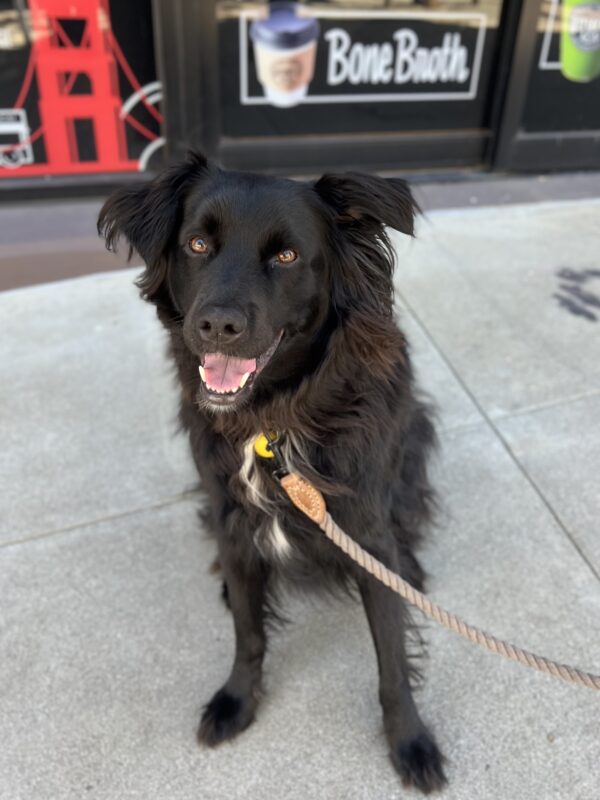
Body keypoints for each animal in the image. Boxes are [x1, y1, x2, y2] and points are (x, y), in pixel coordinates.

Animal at [97, 153, 446, 792]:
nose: (217, 326)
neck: (272, 422)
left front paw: (409, 739)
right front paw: (238, 699)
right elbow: (248, 632)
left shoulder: (367, 533)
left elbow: (391, 656)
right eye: (198, 243)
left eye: (286, 256)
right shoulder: (233, 522)